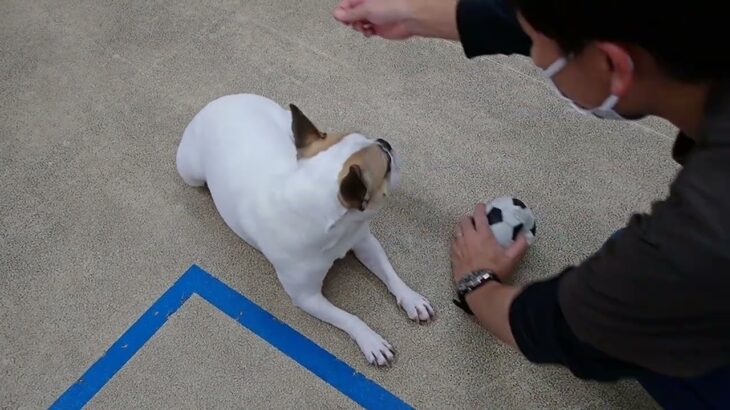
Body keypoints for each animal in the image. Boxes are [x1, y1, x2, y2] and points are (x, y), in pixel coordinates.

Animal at [176, 95, 432, 366]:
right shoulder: (307, 297)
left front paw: (411, 298)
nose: (385, 142)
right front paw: (370, 340)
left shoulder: (364, 242)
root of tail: (218, 102)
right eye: (387, 167)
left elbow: (390, 274)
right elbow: (349, 317)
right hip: (191, 173)